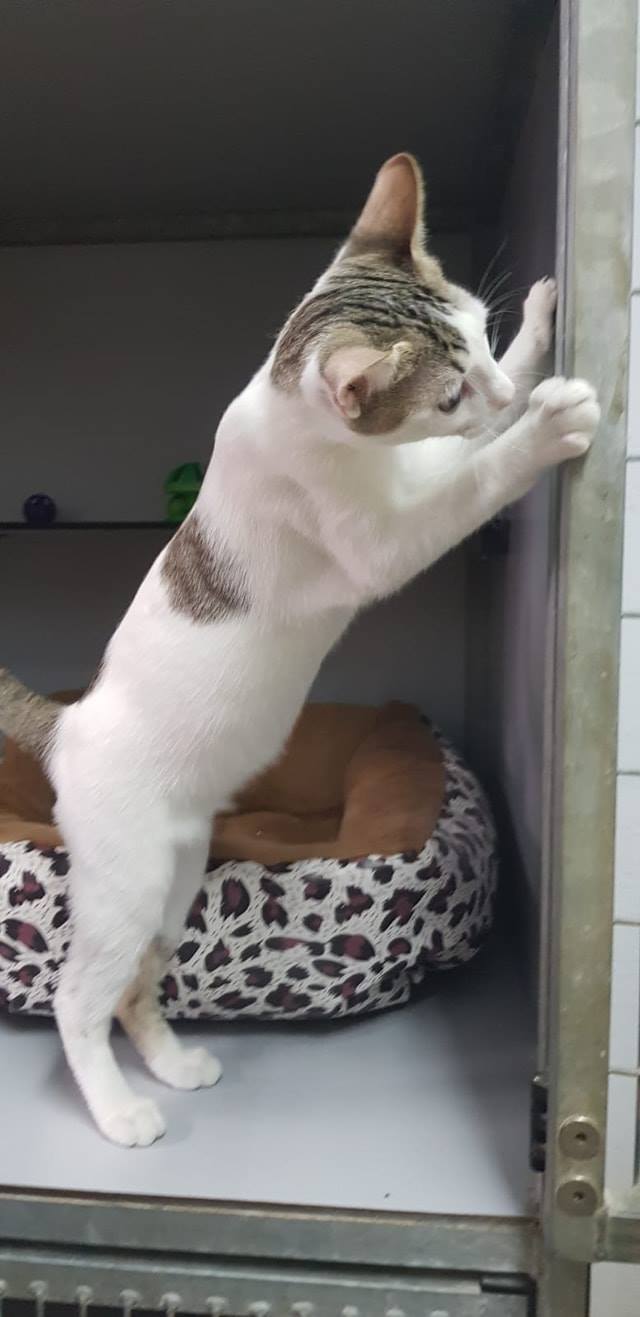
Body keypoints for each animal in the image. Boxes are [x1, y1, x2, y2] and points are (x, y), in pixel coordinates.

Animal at [0, 153, 599, 1147]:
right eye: (447, 390)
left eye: (480, 332)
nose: (498, 393)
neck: (298, 414)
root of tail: (68, 723)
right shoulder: (390, 536)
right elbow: (477, 475)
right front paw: (545, 426)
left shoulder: (418, 460)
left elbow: (475, 441)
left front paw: (538, 337)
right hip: (125, 889)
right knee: (79, 1000)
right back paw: (121, 1110)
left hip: (175, 883)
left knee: (133, 988)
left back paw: (172, 1062)